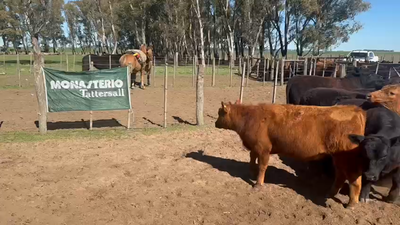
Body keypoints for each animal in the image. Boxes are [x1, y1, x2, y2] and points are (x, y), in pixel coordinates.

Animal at [214, 101, 368, 207]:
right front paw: (251, 172)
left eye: (220, 113)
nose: (215, 123)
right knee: (340, 175)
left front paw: (258, 184)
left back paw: (352, 203)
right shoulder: (255, 147)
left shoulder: (264, 149)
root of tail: (354, 109)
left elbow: (262, 166)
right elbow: (252, 158)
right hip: (338, 158)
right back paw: (330, 193)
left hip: (348, 160)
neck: (251, 117)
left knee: (354, 179)